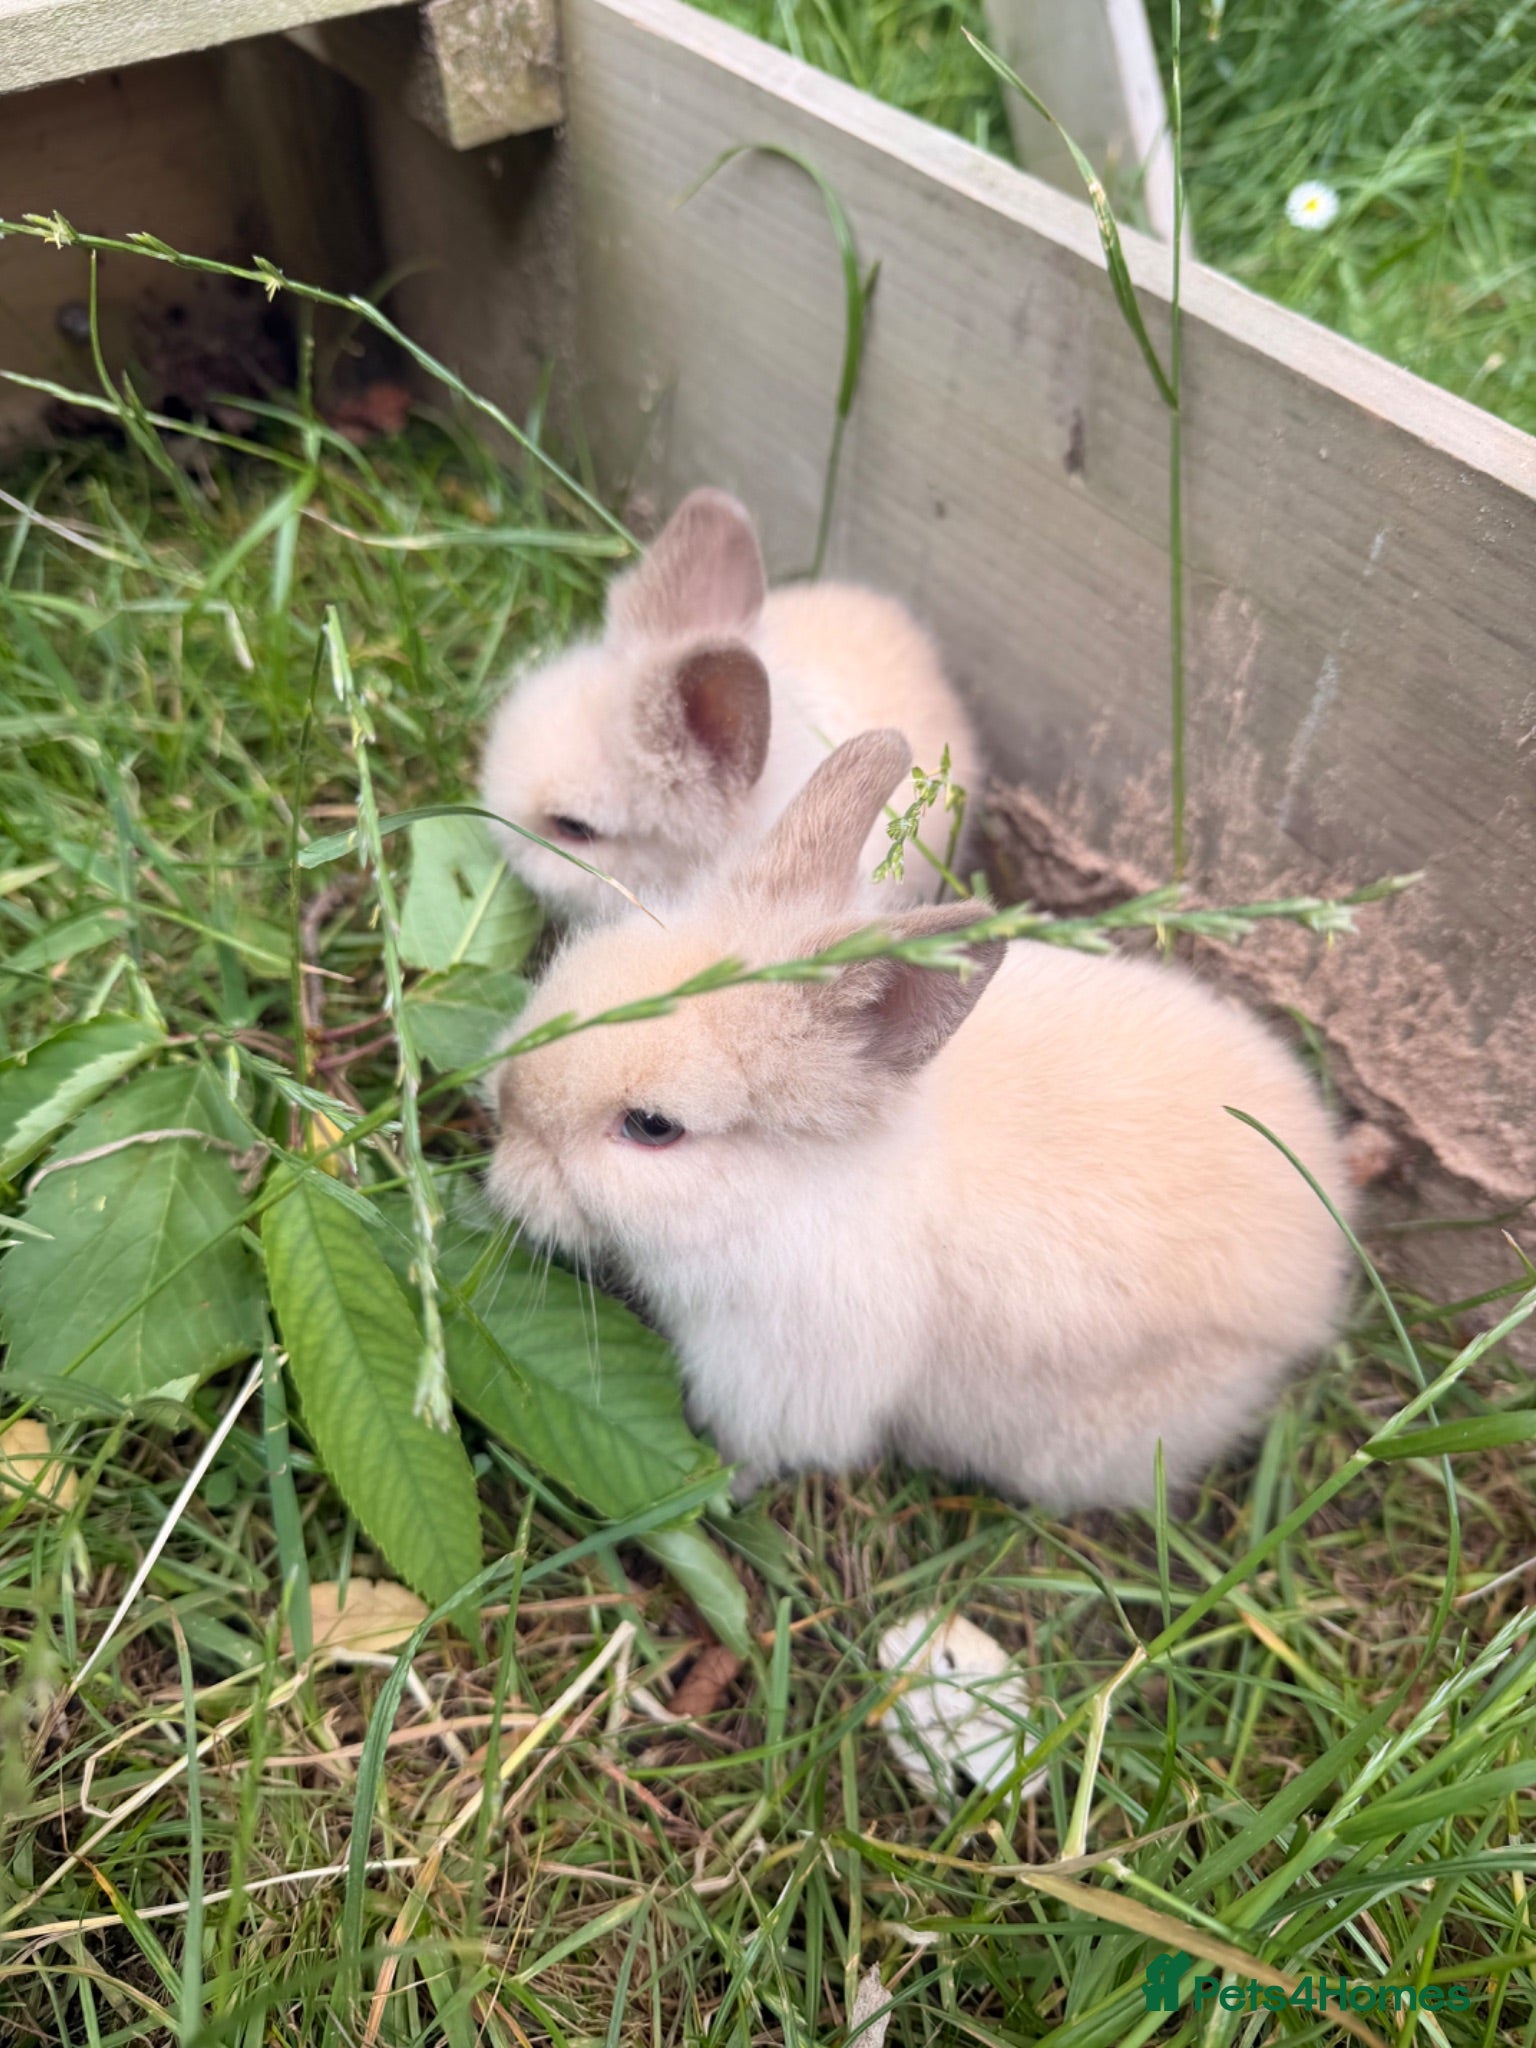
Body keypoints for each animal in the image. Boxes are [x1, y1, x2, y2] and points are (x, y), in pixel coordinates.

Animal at [488, 730, 1353, 1512]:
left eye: (652, 1126)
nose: (505, 1136)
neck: (796, 1193)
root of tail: (1322, 1264)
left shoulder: (779, 1375)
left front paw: (720, 1492)